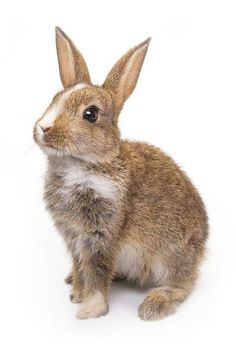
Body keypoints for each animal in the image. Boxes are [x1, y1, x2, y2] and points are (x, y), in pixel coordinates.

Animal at [33, 27, 208, 320]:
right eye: (54, 100)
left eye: (90, 114)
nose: (43, 128)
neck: (83, 165)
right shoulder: (74, 238)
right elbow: (82, 269)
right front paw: (76, 292)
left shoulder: (100, 236)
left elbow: (97, 273)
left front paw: (88, 310)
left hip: (172, 256)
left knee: (183, 285)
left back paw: (154, 305)